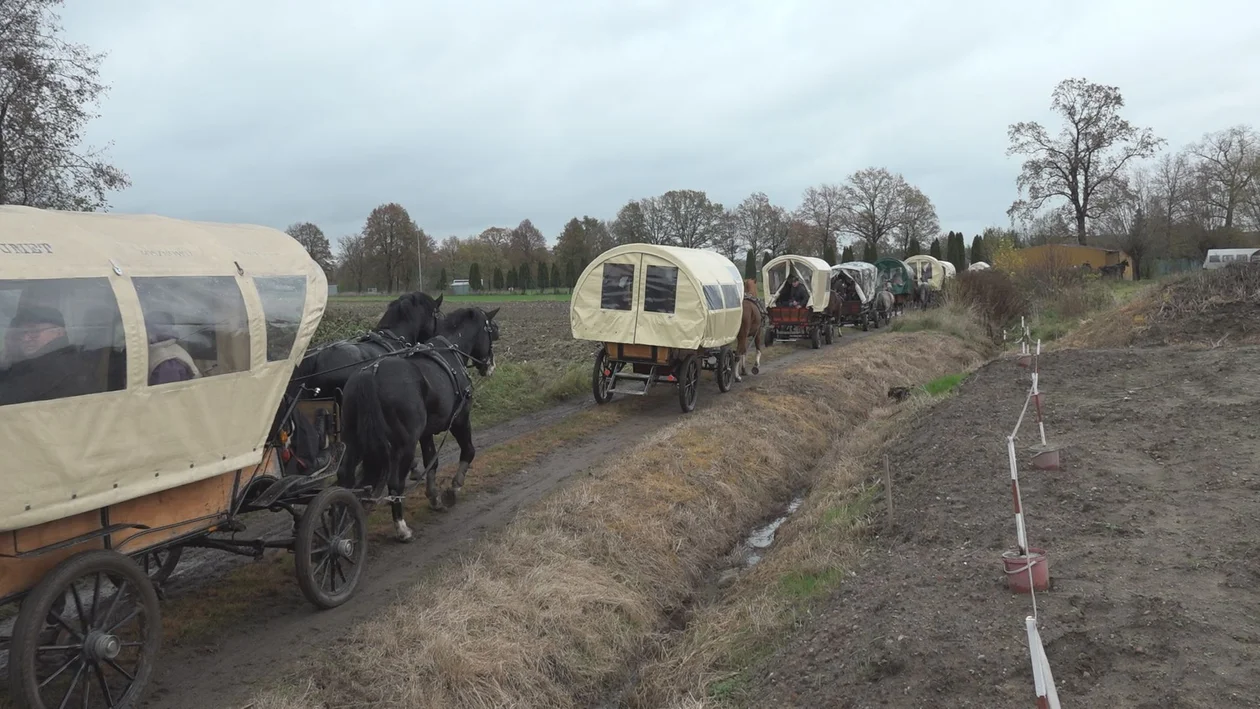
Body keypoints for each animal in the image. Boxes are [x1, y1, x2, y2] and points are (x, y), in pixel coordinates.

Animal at [347, 306, 504, 544]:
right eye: (490, 330)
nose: (491, 366)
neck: (451, 350)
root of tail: (371, 374)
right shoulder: (460, 420)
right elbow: (468, 451)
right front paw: (453, 489)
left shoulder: (426, 432)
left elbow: (432, 461)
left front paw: (434, 498)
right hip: (404, 445)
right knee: (395, 483)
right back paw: (401, 528)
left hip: (352, 444)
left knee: (347, 483)